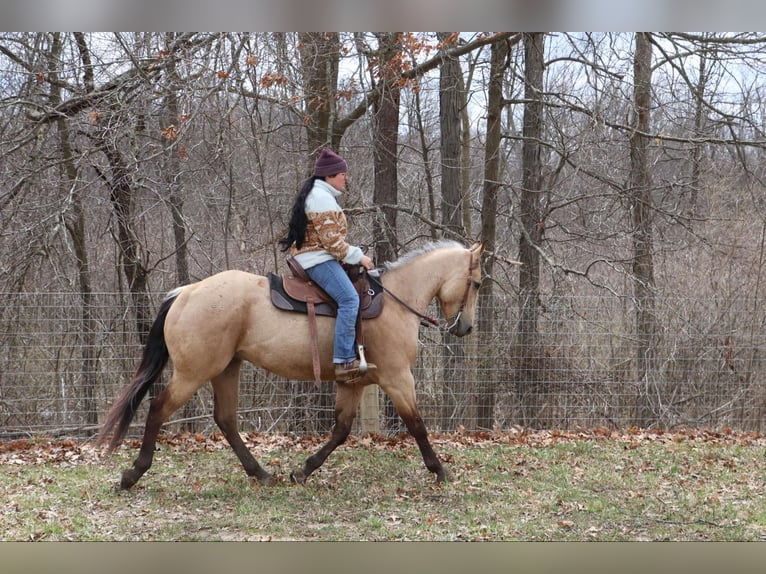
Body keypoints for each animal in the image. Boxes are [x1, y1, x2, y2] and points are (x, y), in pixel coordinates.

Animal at [98, 240, 483, 489]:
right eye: (477, 283)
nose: (465, 328)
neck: (393, 301)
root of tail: (186, 293)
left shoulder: (354, 383)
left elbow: (341, 431)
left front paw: (304, 471)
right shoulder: (398, 378)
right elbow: (417, 425)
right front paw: (440, 470)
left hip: (226, 369)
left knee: (225, 420)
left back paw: (261, 474)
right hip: (194, 373)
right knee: (158, 409)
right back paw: (132, 474)